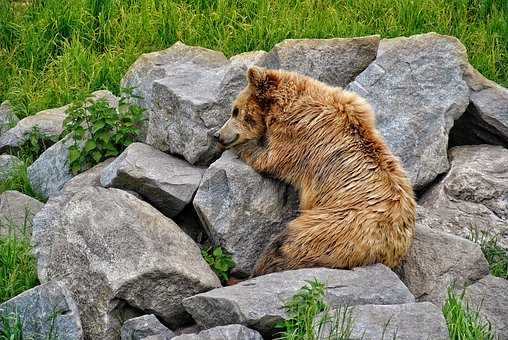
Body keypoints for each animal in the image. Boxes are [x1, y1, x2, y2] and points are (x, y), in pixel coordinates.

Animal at [215, 66, 416, 276]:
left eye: (235, 110)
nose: (217, 135)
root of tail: (389, 248)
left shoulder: (297, 136)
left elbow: (270, 159)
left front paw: (243, 147)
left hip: (332, 227)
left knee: (287, 245)